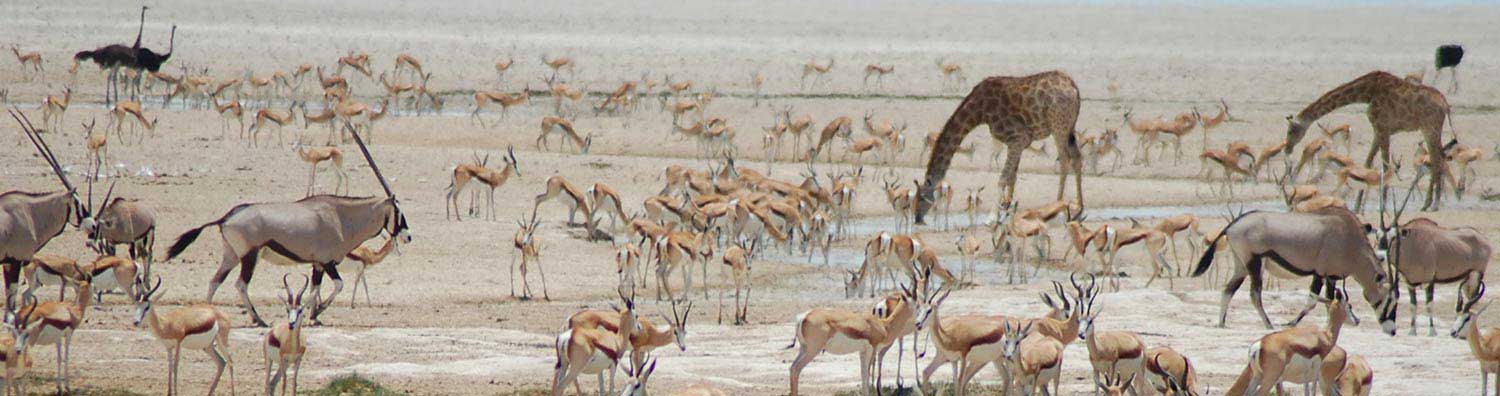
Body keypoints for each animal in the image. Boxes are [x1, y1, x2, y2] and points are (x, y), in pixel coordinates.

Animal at [167, 129, 411, 325]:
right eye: (398, 211)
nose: (408, 237)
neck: (341, 216)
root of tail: (226, 218)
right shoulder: (326, 261)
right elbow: (336, 286)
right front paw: (314, 313)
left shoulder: (317, 265)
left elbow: (315, 288)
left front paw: (314, 316)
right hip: (249, 256)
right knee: (240, 284)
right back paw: (258, 319)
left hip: (231, 255)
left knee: (215, 280)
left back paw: (208, 314)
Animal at [1278, 70, 1452, 210]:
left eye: (1291, 131)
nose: (1287, 148)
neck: (1367, 92)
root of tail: (1445, 104)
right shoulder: (1377, 130)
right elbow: (1367, 164)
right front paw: (1357, 206)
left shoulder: (1383, 128)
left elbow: (1384, 164)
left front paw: (1382, 204)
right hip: (1431, 130)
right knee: (1440, 157)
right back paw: (1431, 203)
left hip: (1430, 128)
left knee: (1437, 159)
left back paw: (1433, 204)